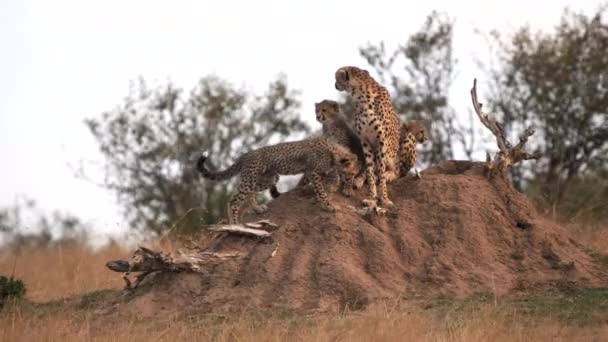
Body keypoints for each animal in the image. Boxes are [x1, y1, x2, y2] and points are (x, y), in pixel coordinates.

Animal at [195, 136, 358, 224]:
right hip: (251, 178)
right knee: (234, 201)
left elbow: (329, 184)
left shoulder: (321, 172)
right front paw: (329, 205)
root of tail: (246, 154)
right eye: (351, 174)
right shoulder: (313, 172)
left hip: (269, 178)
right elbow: (321, 191)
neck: (333, 152)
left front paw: (328, 194)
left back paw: (257, 208)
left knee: (249, 194)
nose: (352, 181)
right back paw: (235, 225)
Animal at [334, 65, 402, 207]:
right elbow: (370, 170)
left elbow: (380, 172)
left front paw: (384, 198)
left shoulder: (381, 142)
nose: (335, 85)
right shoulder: (365, 141)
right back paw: (359, 180)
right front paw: (371, 198)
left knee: (396, 171)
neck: (362, 97)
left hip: (391, 153)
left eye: (336, 77)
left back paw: (388, 175)